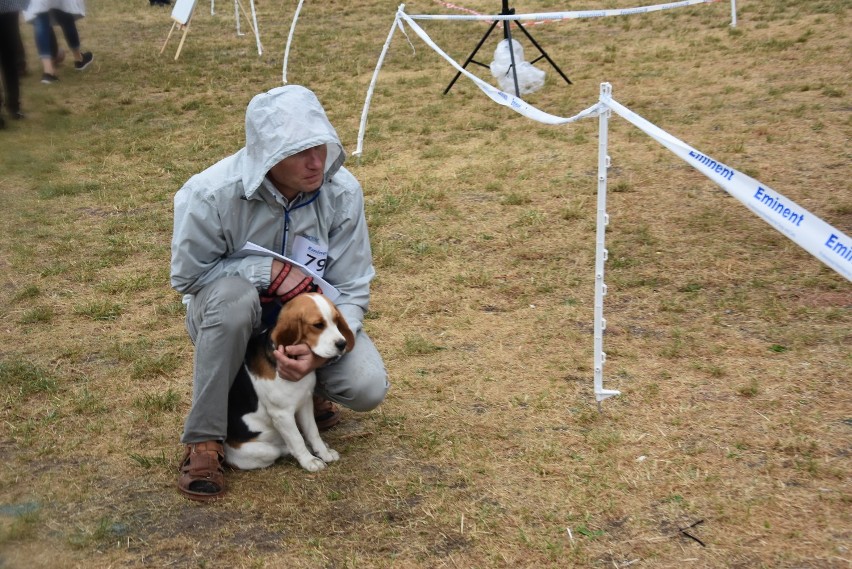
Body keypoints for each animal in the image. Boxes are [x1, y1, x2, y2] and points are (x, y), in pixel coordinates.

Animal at [225, 292, 354, 470]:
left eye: (336, 320)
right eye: (318, 325)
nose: (342, 344)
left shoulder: (305, 402)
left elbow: (313, 431)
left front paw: (323, 453)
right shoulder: (282, 414)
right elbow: (296, 439)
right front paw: (309, 461)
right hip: (261, 451)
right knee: (282, 449)